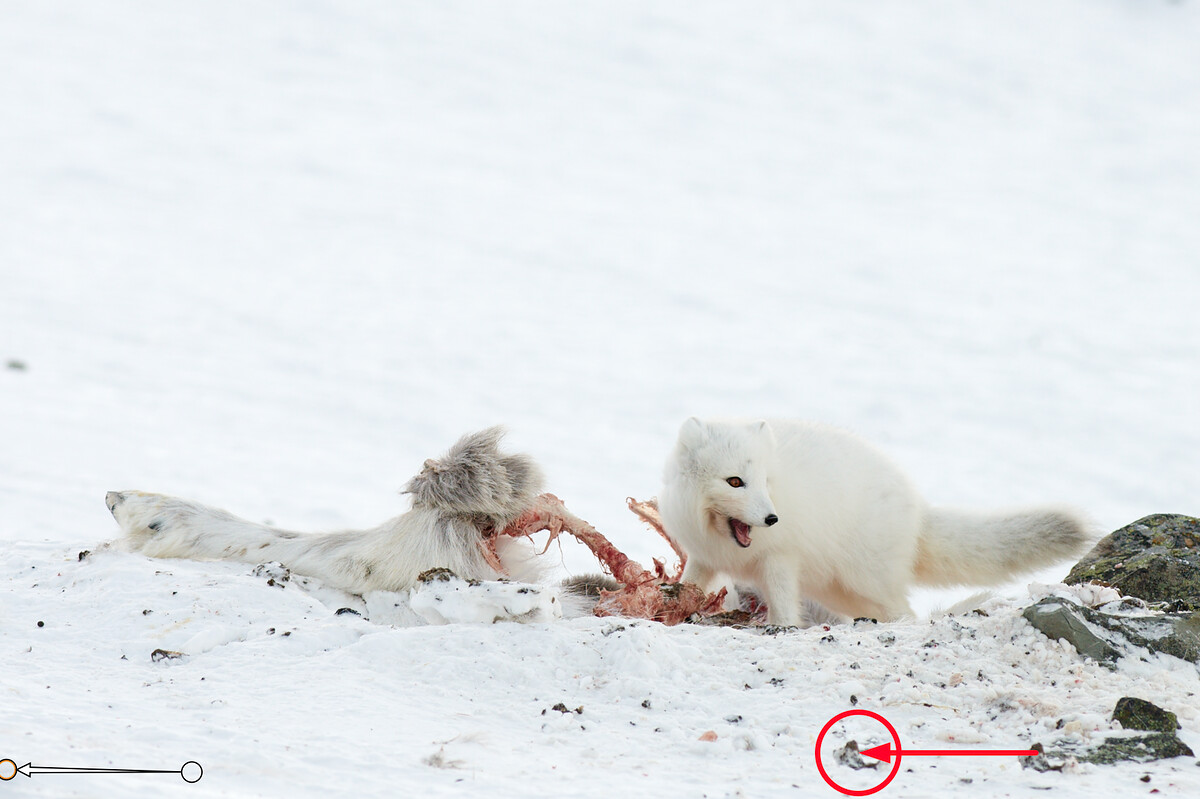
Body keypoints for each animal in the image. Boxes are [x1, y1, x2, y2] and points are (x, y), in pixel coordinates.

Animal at [657, 417, 1089, 623]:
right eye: (735, 481)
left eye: (766, 482)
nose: (772, 517)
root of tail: (917, 508)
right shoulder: (705, 558)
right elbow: (692, 582)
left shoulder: (781, 559)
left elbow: (782, 604)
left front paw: (780, 626)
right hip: (842, 590)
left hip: (866, 579)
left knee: (907, 613)